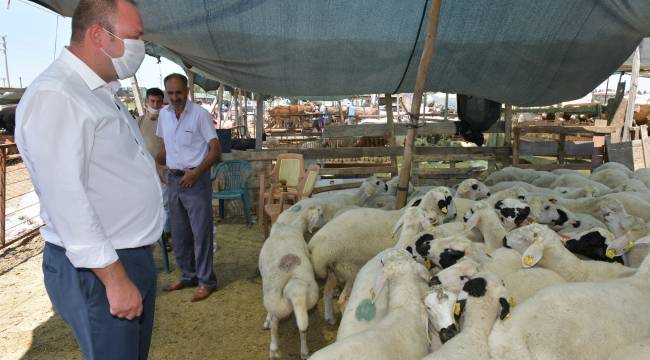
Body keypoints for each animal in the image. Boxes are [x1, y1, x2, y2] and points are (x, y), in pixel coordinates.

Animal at [258, 204, 324, 358]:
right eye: (318, 213)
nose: (321, 208)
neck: (291, 227)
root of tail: (295, 287)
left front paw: (266, 321)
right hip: (308, 298)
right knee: (303, 328)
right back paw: (304, 352)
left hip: (273, 297)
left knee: (275, 325)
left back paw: (273, 349)